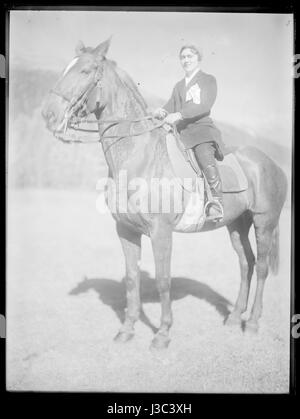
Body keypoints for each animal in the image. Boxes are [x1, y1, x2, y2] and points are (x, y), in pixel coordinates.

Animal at [42, 38, 288, 352]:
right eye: (66, 68)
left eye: (85, 71)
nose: (48, 114)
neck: (139, 156)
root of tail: (271, 163)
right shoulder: (125, 230)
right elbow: (131, 279)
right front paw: (127, 330)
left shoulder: (161, 232)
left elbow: (162, 280)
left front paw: (162, 333)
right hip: (236, 224)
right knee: (246, 263)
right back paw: (234, 318)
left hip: (264, 222)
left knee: (263, 268)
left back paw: (253, 323)